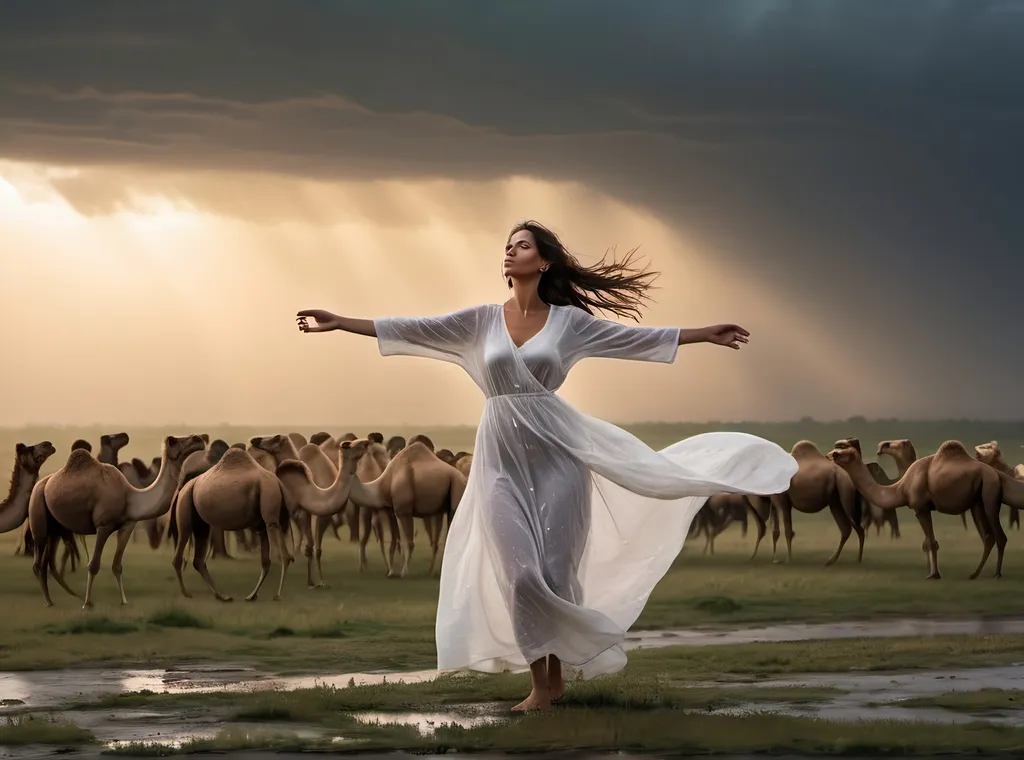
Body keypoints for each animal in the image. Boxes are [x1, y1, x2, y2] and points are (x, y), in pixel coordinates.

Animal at [29, 434, 206, 606]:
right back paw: (49, 601)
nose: (198, 439)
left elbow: (117, 566)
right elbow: (93, 565)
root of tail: (41, 483)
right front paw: (87, 603)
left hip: (55, 527)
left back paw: (68, 595)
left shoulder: (128, 525)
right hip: (38, 509)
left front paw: (124, 601)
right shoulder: (103, 526)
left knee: (48, 562)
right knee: (38, 562)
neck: (130, 497)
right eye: (173, 440)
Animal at [172, 448, 305, 602]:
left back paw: (222, 596)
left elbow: (266, 561)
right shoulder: (270, 514)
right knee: (183, 538)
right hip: (185, 501)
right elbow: (282, 556)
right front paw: (277, 594)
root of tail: (185, 487)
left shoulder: (263, 523)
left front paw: (253, 595)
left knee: (198, 557)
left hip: (199, 518)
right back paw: (186, 593)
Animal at [823, 438, 1024, 581]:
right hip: (977, 501)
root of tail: (997, 474)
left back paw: (996, 574)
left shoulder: (920, 508)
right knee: (989, 537)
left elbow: (931, 542)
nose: (827, 456)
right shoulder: (924, 509)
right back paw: (975, 573)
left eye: (838, 453)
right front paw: (933, 571)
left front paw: (933, 574)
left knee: (1000, 536)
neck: (901, 486)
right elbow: (928, 542)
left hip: (990, 493)